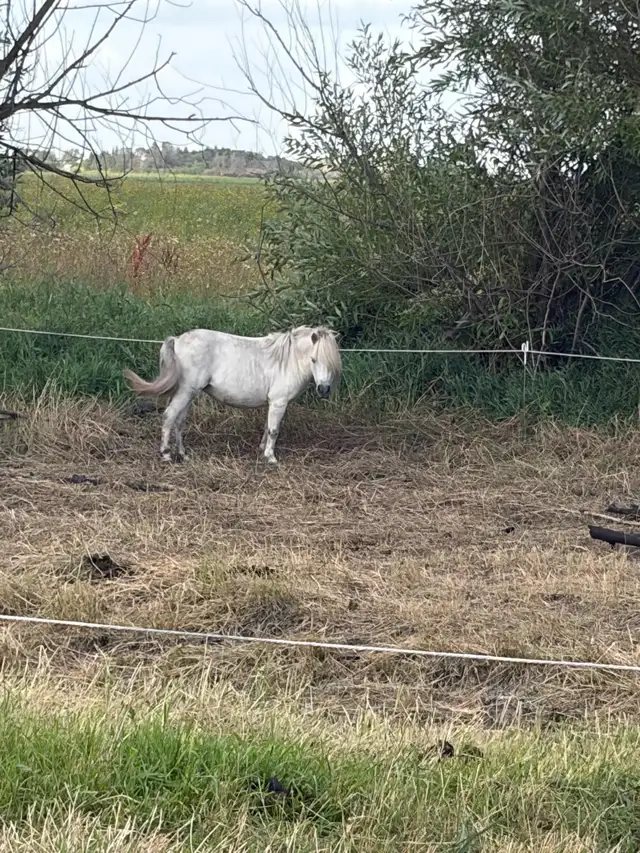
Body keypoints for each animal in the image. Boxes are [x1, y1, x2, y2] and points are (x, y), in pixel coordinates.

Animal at [123, 325, 342, 464]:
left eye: (331, 363)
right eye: (313, 359)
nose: (323, 390)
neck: (288, 360)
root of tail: (177, 340)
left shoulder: (272, 403)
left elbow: (266, 427)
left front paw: (262, 450)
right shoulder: (279, 402)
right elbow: (274, 430)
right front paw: (271, 458)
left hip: (188, 393)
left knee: (179, 421)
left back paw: (183, 455)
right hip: (186, 392)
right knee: (169, 417)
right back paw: (166, 455)